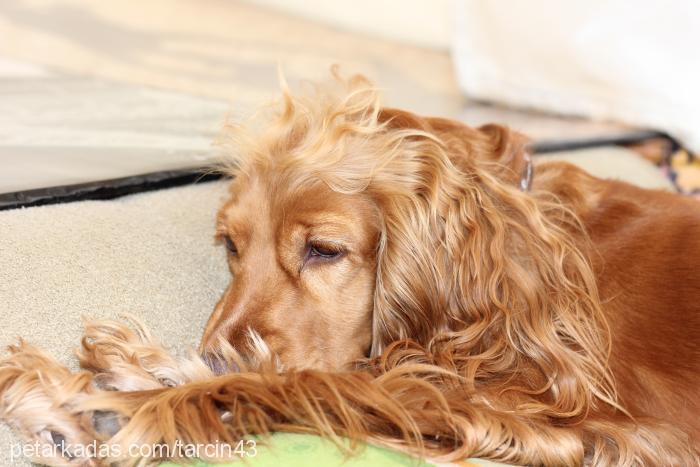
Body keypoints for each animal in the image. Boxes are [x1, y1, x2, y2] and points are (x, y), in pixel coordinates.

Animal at [0, 71, 696, 466]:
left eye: (324, 250)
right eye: (231, 246)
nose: (219, 355)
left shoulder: (588, 425)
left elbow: (308, 386)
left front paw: (109, 403)